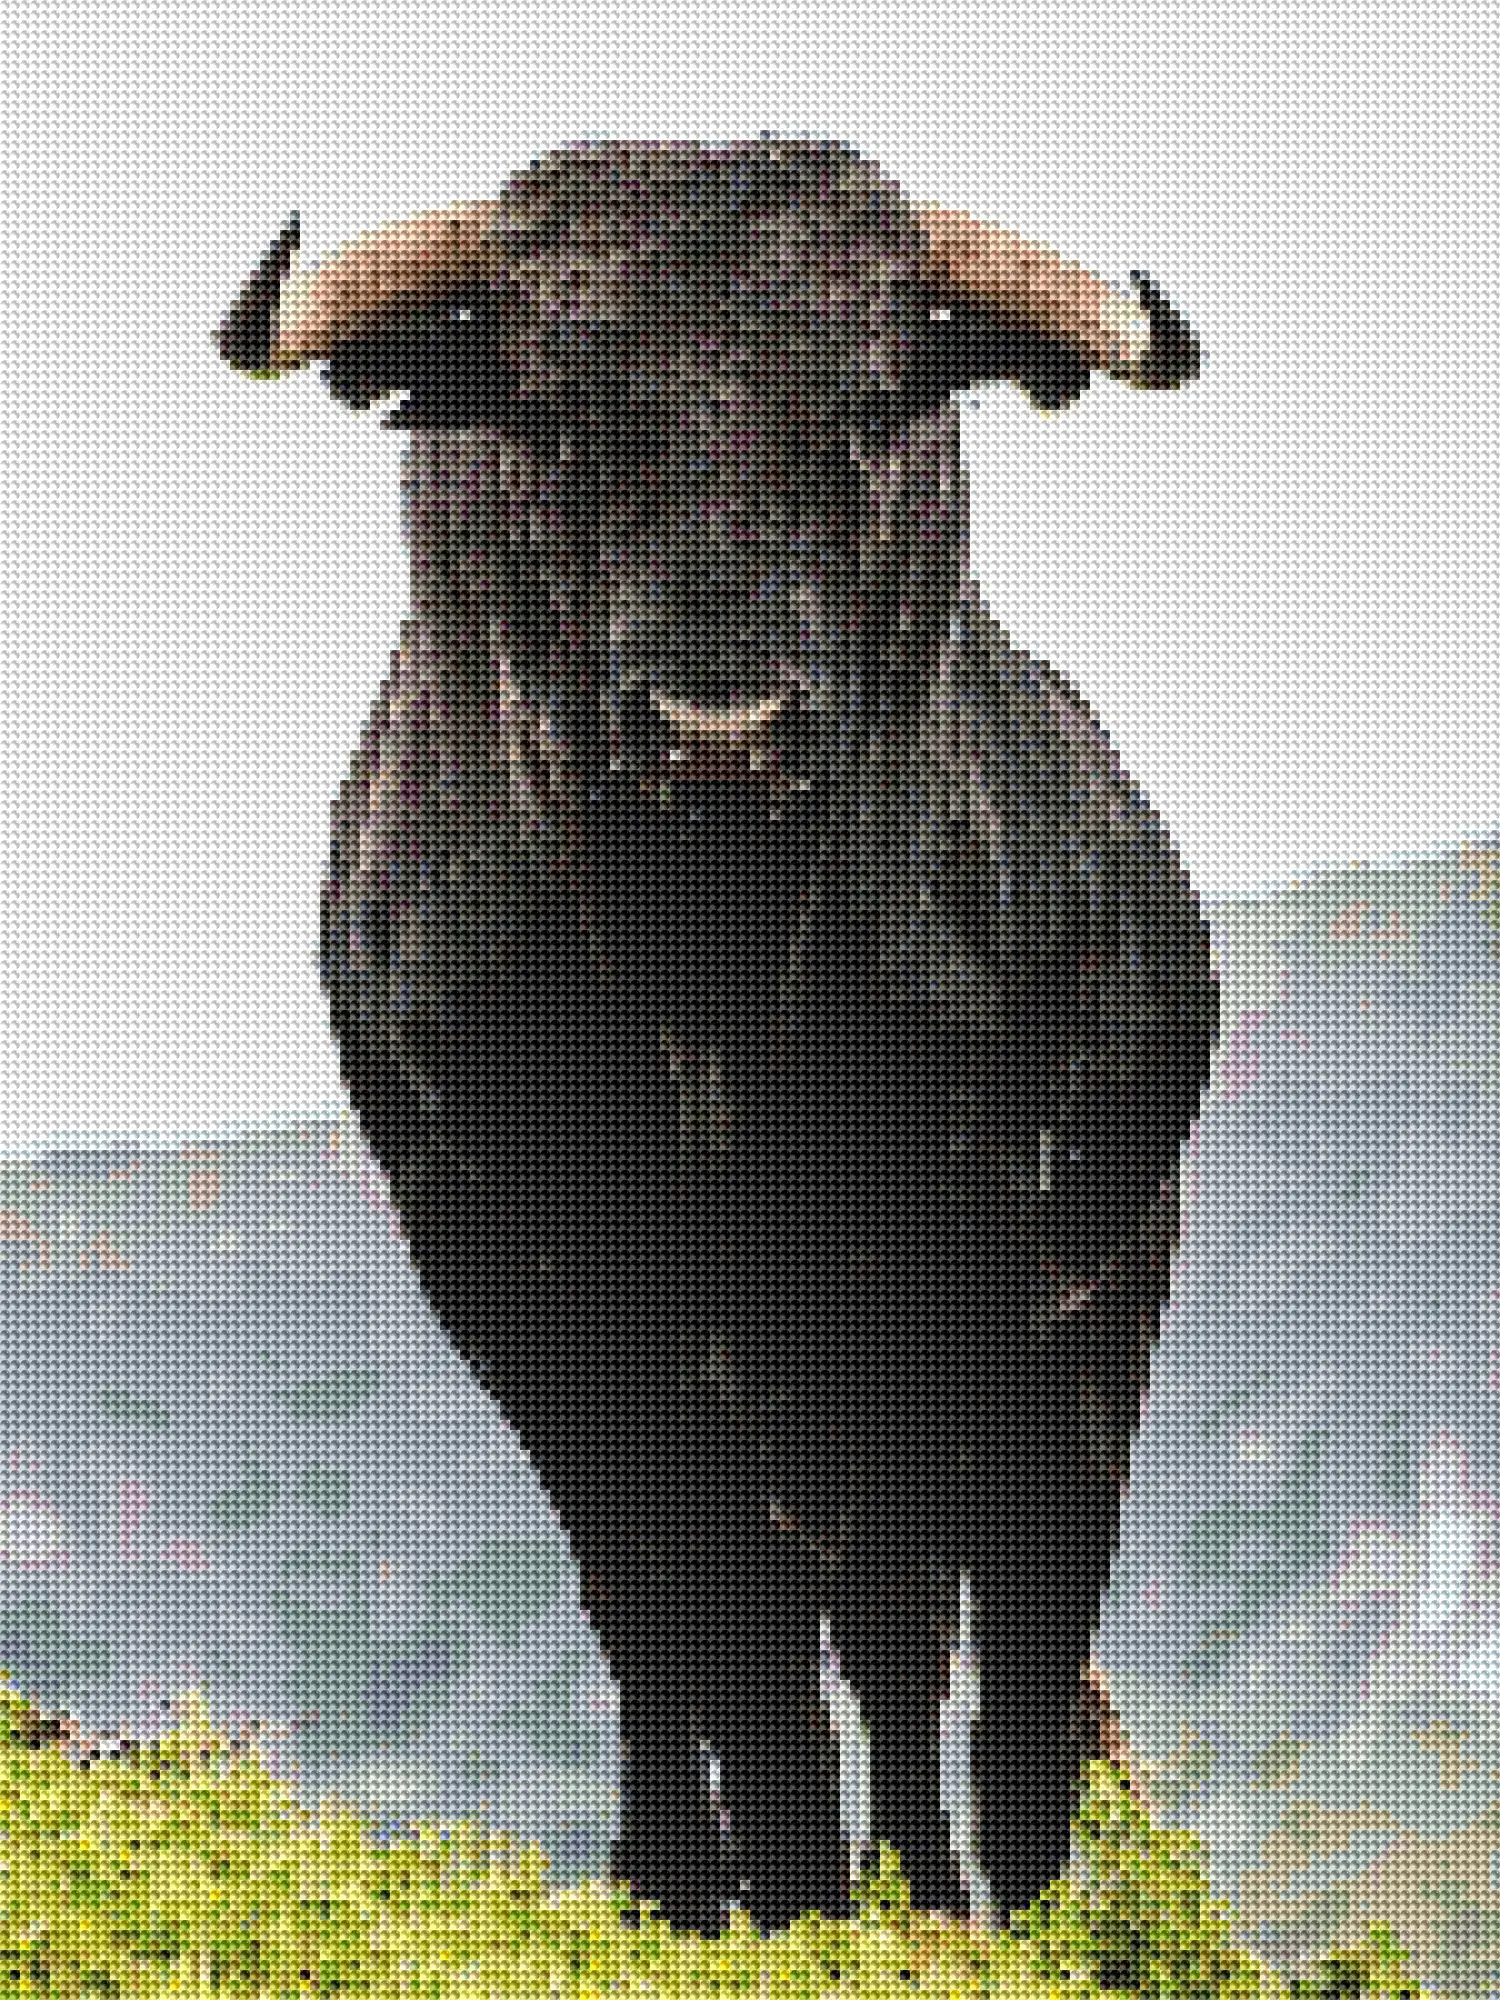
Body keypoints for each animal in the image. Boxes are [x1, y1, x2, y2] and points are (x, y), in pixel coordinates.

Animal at [217, 136, 1217, 1942]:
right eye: (556, 413)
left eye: (867, 407)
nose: (720, 729)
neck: (710, 982)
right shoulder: (527, 1266)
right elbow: (690, 1604)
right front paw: (745, 1886)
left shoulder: (954, 1249)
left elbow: (915, 1609)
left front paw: (908, 1901)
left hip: (1099, 1286)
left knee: (988, 1606)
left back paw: (986, 1881)